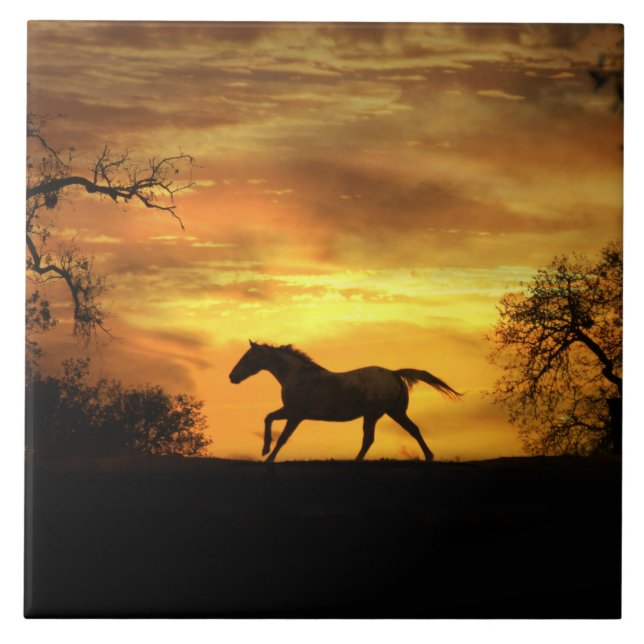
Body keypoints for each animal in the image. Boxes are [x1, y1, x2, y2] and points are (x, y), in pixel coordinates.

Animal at [229, 341, 461, 463]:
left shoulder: (295, 414)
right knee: (413, 430)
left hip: (374, 414)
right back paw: (429, 456)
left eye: (247, 358)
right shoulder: (291, 412)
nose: (232, 377)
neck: (297, 375)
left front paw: (267, 455)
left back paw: (356, 462)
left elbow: (281, 436)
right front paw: (265, 451)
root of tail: (394, 373)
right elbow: (269, 419)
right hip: (394, 412)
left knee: (369, 439)